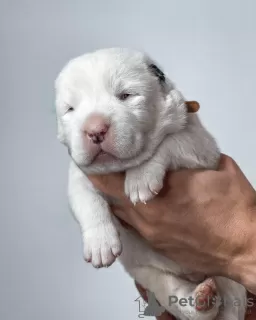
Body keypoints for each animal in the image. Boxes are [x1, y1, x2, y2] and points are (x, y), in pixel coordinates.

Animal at [55, 48, 247, 320]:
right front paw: (100, 244)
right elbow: (86, 201)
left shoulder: (199, 145)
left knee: (230, 306)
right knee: (186, 303)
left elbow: (169, 142)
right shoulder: (79, 173)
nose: (95, 130)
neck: (121, 168)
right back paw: (202, 299)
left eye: (126, 95)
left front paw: (140, 179)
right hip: (153, 277)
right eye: (70, 109)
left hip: (230, 278)